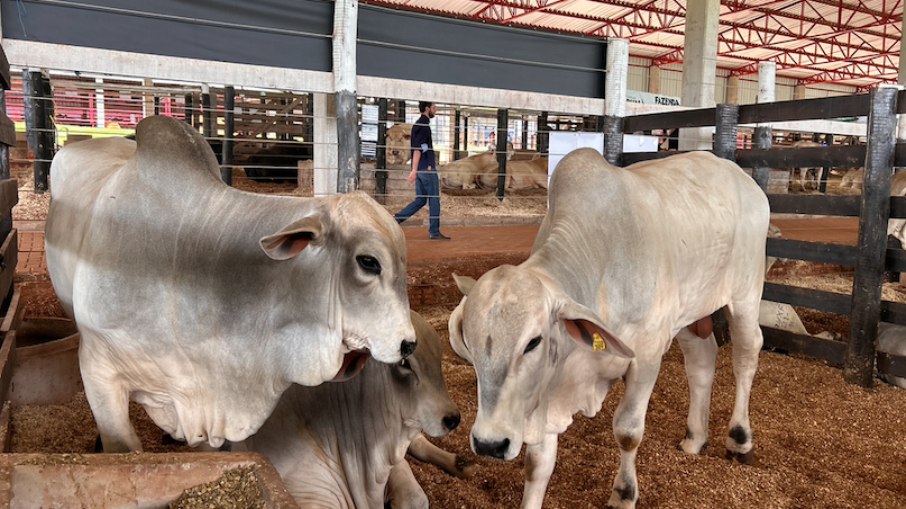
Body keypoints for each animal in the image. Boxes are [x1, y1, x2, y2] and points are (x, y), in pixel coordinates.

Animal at [448, 148, 768, 508]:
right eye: (470, 344)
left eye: (533, 342)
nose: (489, 444)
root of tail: (743, 179)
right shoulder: (549, 386)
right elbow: (537, 463)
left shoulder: (646, 355)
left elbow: (627, 432)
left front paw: (624, 493)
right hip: (690, 313)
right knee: (702, 362)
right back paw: (695, 439)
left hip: (745, 295)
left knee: (746, 356)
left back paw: (740, 440)